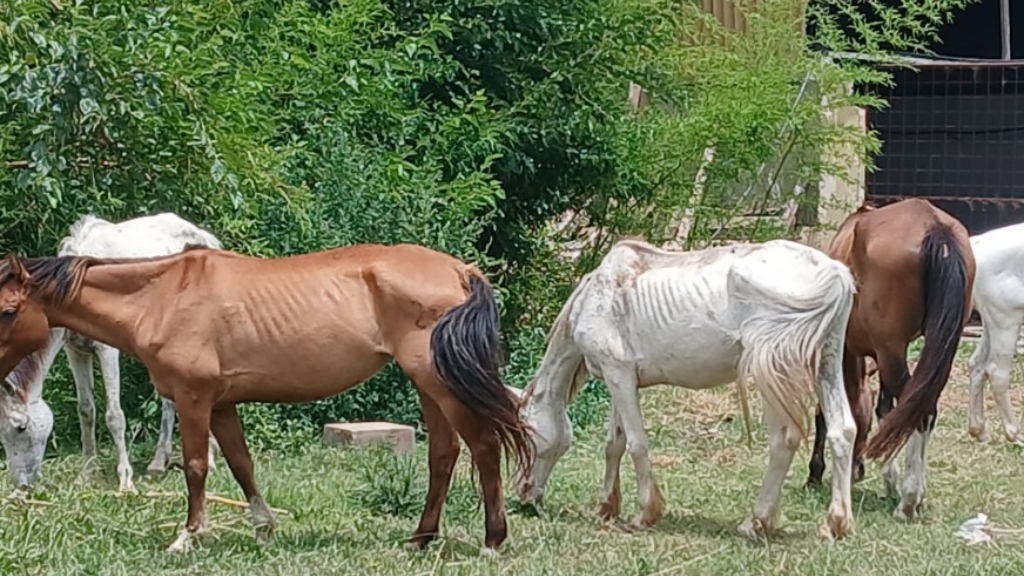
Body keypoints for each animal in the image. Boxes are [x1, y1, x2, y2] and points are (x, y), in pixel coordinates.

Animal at [0, 213, 223, 491]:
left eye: (21, 427)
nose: (21, 484)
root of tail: (205, 238)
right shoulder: (76, 352)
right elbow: (86, 411)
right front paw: (86, 474)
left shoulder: (107, 350)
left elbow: (114, 415)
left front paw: (125, 480)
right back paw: (158, 463)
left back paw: (210, 459)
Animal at [0, 241, 536, 553]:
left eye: (7, 311)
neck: (161, 297)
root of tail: (459, 270)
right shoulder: (220, 403)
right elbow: (241, 464)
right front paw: (263, 526)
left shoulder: (194, 399)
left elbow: (196, 467)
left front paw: (188, 536)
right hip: (428, 386)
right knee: (443, 455)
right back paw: (421, 539)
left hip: (440, 384)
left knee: (484, 448)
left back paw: (492, 540)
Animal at [516, 235, 860, 537]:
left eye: (526, 438)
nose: (524, 497)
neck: (599, 294)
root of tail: (834, 273)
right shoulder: (620, 378)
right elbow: (614, 444)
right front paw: (606, 507)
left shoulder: (619, 376)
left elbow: (636, 444)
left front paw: (645, 513)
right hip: (826, 365)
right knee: (842, 430)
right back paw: (836, 524)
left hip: (773, 374)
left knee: (783, 441)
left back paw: (756, 521)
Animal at [802, 198, 970, 520]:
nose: (857, 469)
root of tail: (936, 228)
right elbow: (885, 410)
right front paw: (889, 479)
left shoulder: (852, 351)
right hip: (936, 348)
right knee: (922, 408)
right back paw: (916, 495)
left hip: (891, 350)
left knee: (918, 412)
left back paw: (909, 501)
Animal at [962, 222, 1024, 440]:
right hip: (1006, 321)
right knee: (997, 374)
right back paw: (1016, 434)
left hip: (991, 322)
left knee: (977, 365)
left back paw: (978, 429)